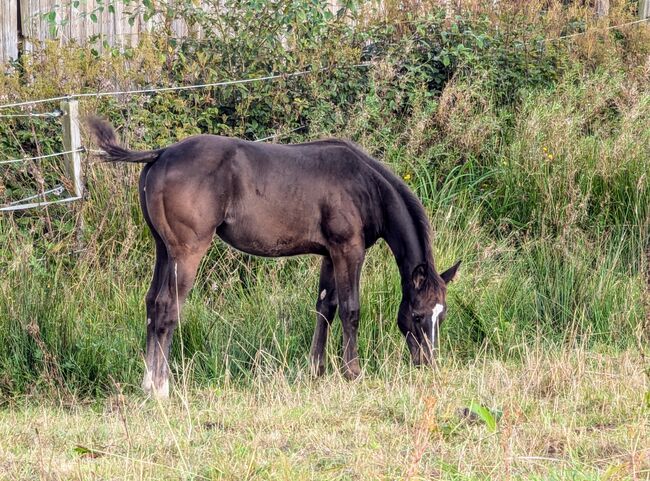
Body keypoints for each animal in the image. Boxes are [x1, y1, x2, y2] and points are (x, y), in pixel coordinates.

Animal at [87, 117, 460, 398]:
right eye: (417, 315)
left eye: (441, 316)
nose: (428, 364)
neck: (364, 185)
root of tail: (162, 153)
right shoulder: (349, 250)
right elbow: (350, 310)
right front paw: (352, 371)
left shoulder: (329, 254)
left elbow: (325, 307)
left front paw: (316, 369)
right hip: (187, 251)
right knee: (167, 307)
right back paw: (161, 389)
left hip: (163, 249)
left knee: (152, 303)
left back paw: (147, 382)